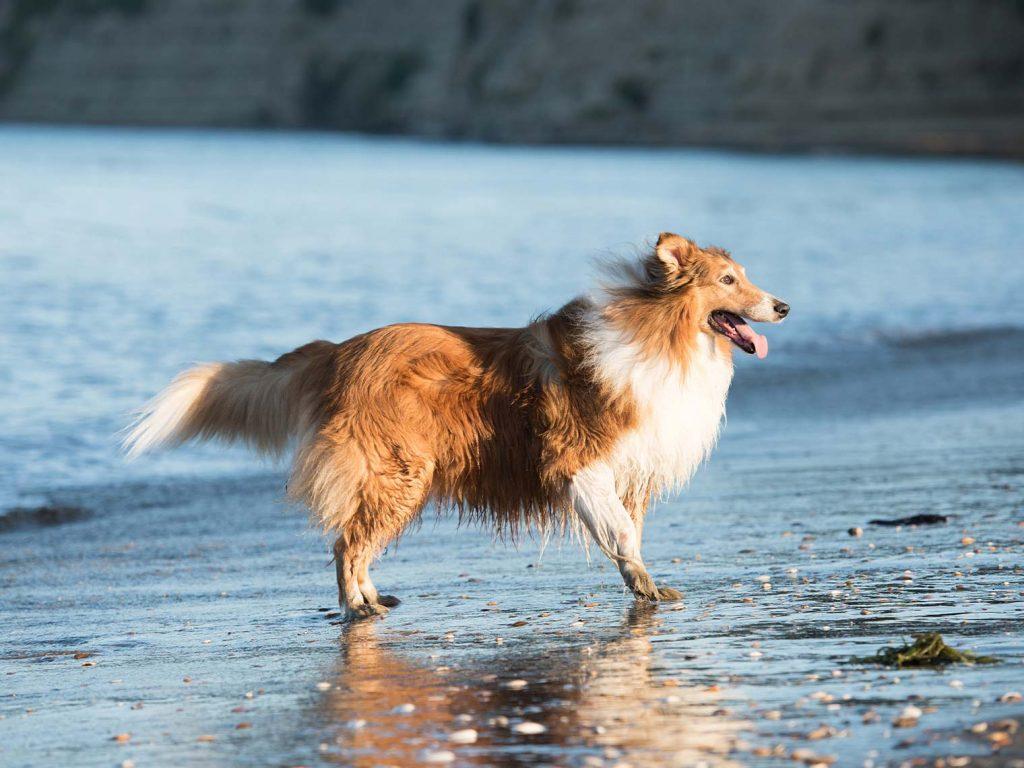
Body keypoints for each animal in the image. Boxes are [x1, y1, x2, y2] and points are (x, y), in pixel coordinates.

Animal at [123, 231, 786, 622]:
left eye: (744, 276)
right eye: (728, 281)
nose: (783, 306)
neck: (659, 335)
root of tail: (339, 352)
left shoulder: (632, 470)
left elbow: (631, 536)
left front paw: (642, 586)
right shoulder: (579, 461)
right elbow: (620, 532)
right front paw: (647, 589)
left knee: (353, 541)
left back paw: (372, 598)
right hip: (401, 472)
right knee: (346, 544)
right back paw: (359, 608)